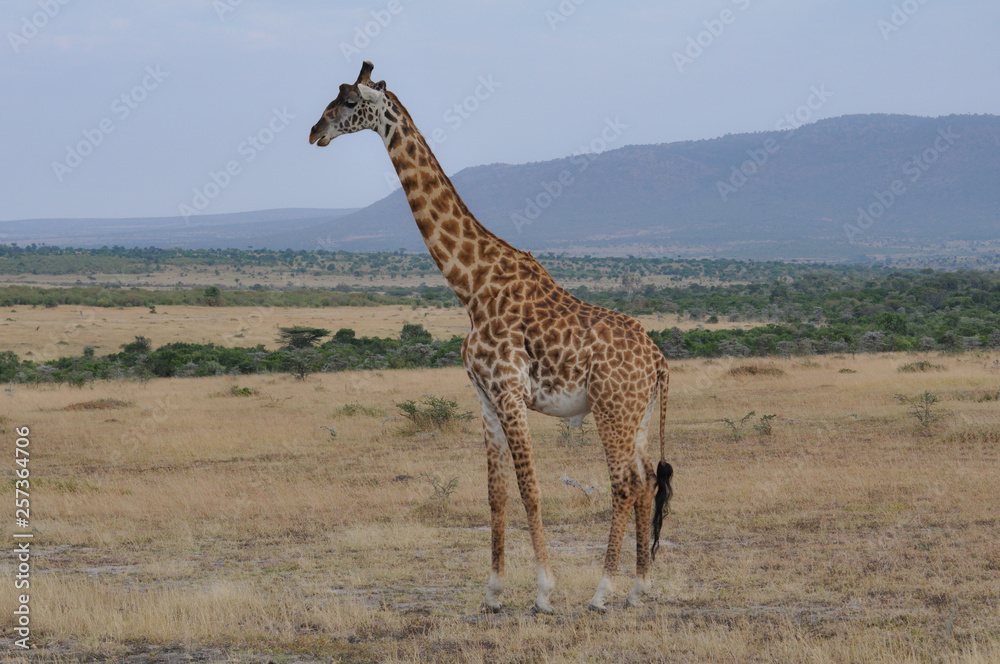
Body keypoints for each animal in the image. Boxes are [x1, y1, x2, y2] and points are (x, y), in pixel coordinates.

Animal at [309, 62, 673, 614]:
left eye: (349, 102)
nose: (315, 132)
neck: (470, 285)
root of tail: (659, 361)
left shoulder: (509, 390)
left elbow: (530, 489)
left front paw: (544, 592)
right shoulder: (483, 395)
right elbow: (496, 493)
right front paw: (494, 592)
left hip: (611, 409)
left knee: (625, 484)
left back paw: (602, 591)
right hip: (639, 414)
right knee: (649, 479)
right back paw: (639, 587)